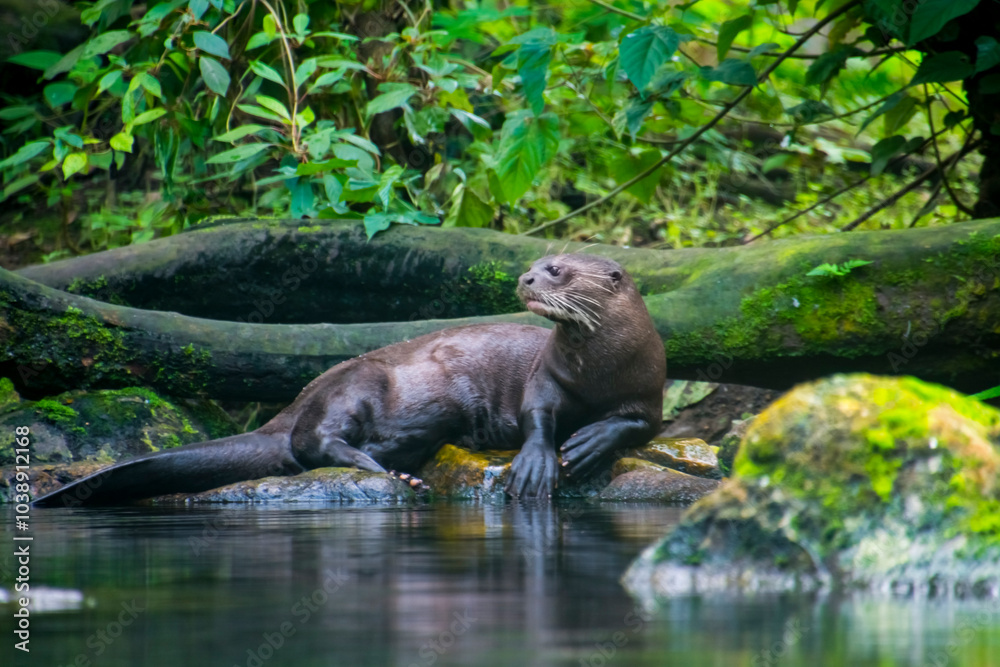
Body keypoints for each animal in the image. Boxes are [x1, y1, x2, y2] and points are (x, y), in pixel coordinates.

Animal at [33, 254, 665, 506]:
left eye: (556, 268)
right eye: (536, 263)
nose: (526, 277)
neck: (599, 370)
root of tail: (292, 402)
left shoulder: (650, 387)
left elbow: (639, 425)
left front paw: (592, 442)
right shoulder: (545, 378)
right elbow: (538, 417)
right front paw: (540, 463)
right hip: (360, 382)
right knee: (310, 443)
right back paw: (378, 471)